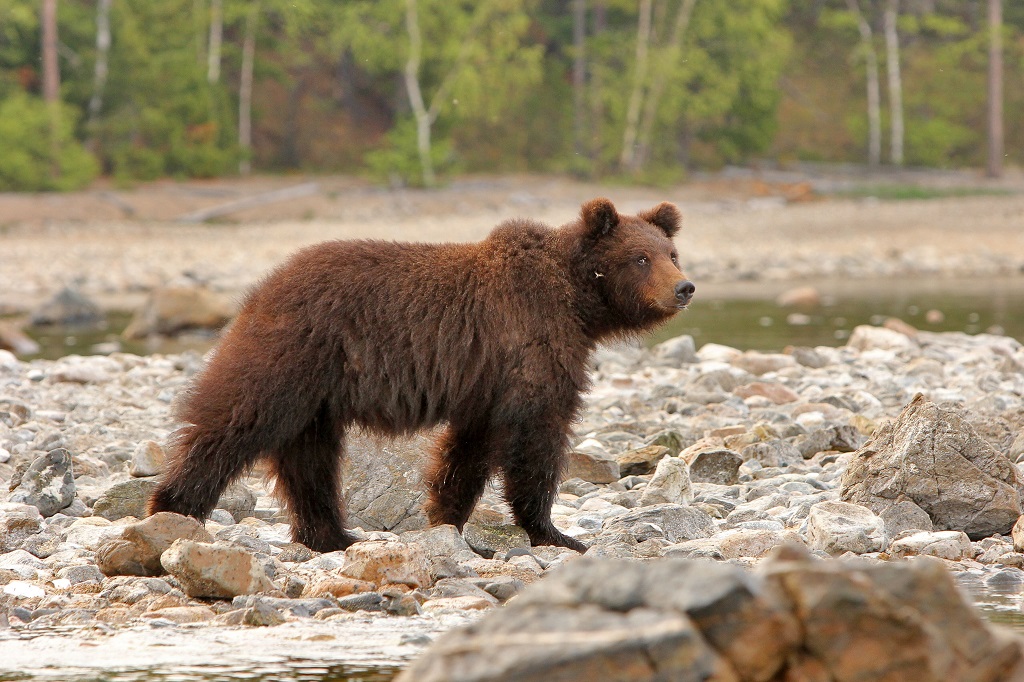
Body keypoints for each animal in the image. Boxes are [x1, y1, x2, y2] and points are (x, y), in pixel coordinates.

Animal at [148, 193, 696, 548]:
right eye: (639, 257)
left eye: (671, 253)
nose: (685, 287)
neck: (580, 305)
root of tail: (262, 287)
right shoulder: (530, 345)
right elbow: (536, 436)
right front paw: (555, 532)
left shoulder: (485, 381)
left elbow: (469, 450)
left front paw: (447, 517)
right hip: (293, 354)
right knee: (238, 419)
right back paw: (173, 508)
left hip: (316, 393)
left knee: (310, 458)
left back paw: (333, 535)